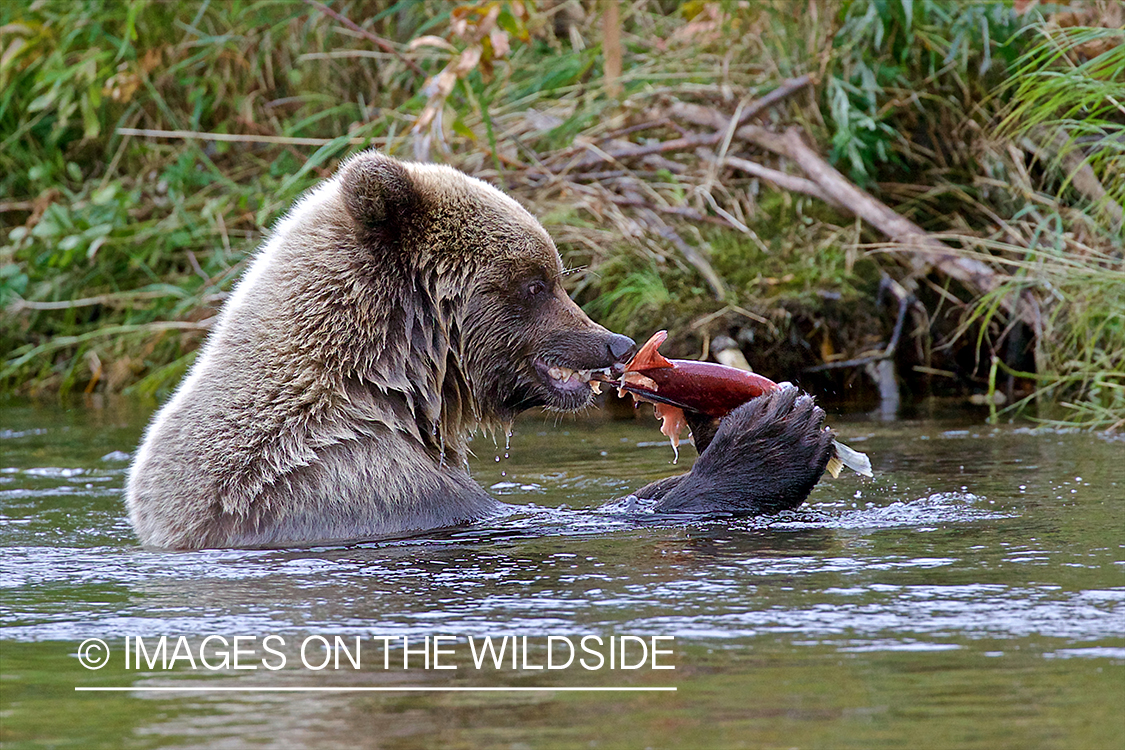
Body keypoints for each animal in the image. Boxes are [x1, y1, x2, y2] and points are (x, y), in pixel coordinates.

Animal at [129, 152, 837, 550]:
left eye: (556, 274)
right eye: (537, 281)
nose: (616, 341)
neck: (387, 387)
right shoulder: (367, 488)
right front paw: (775, 433)